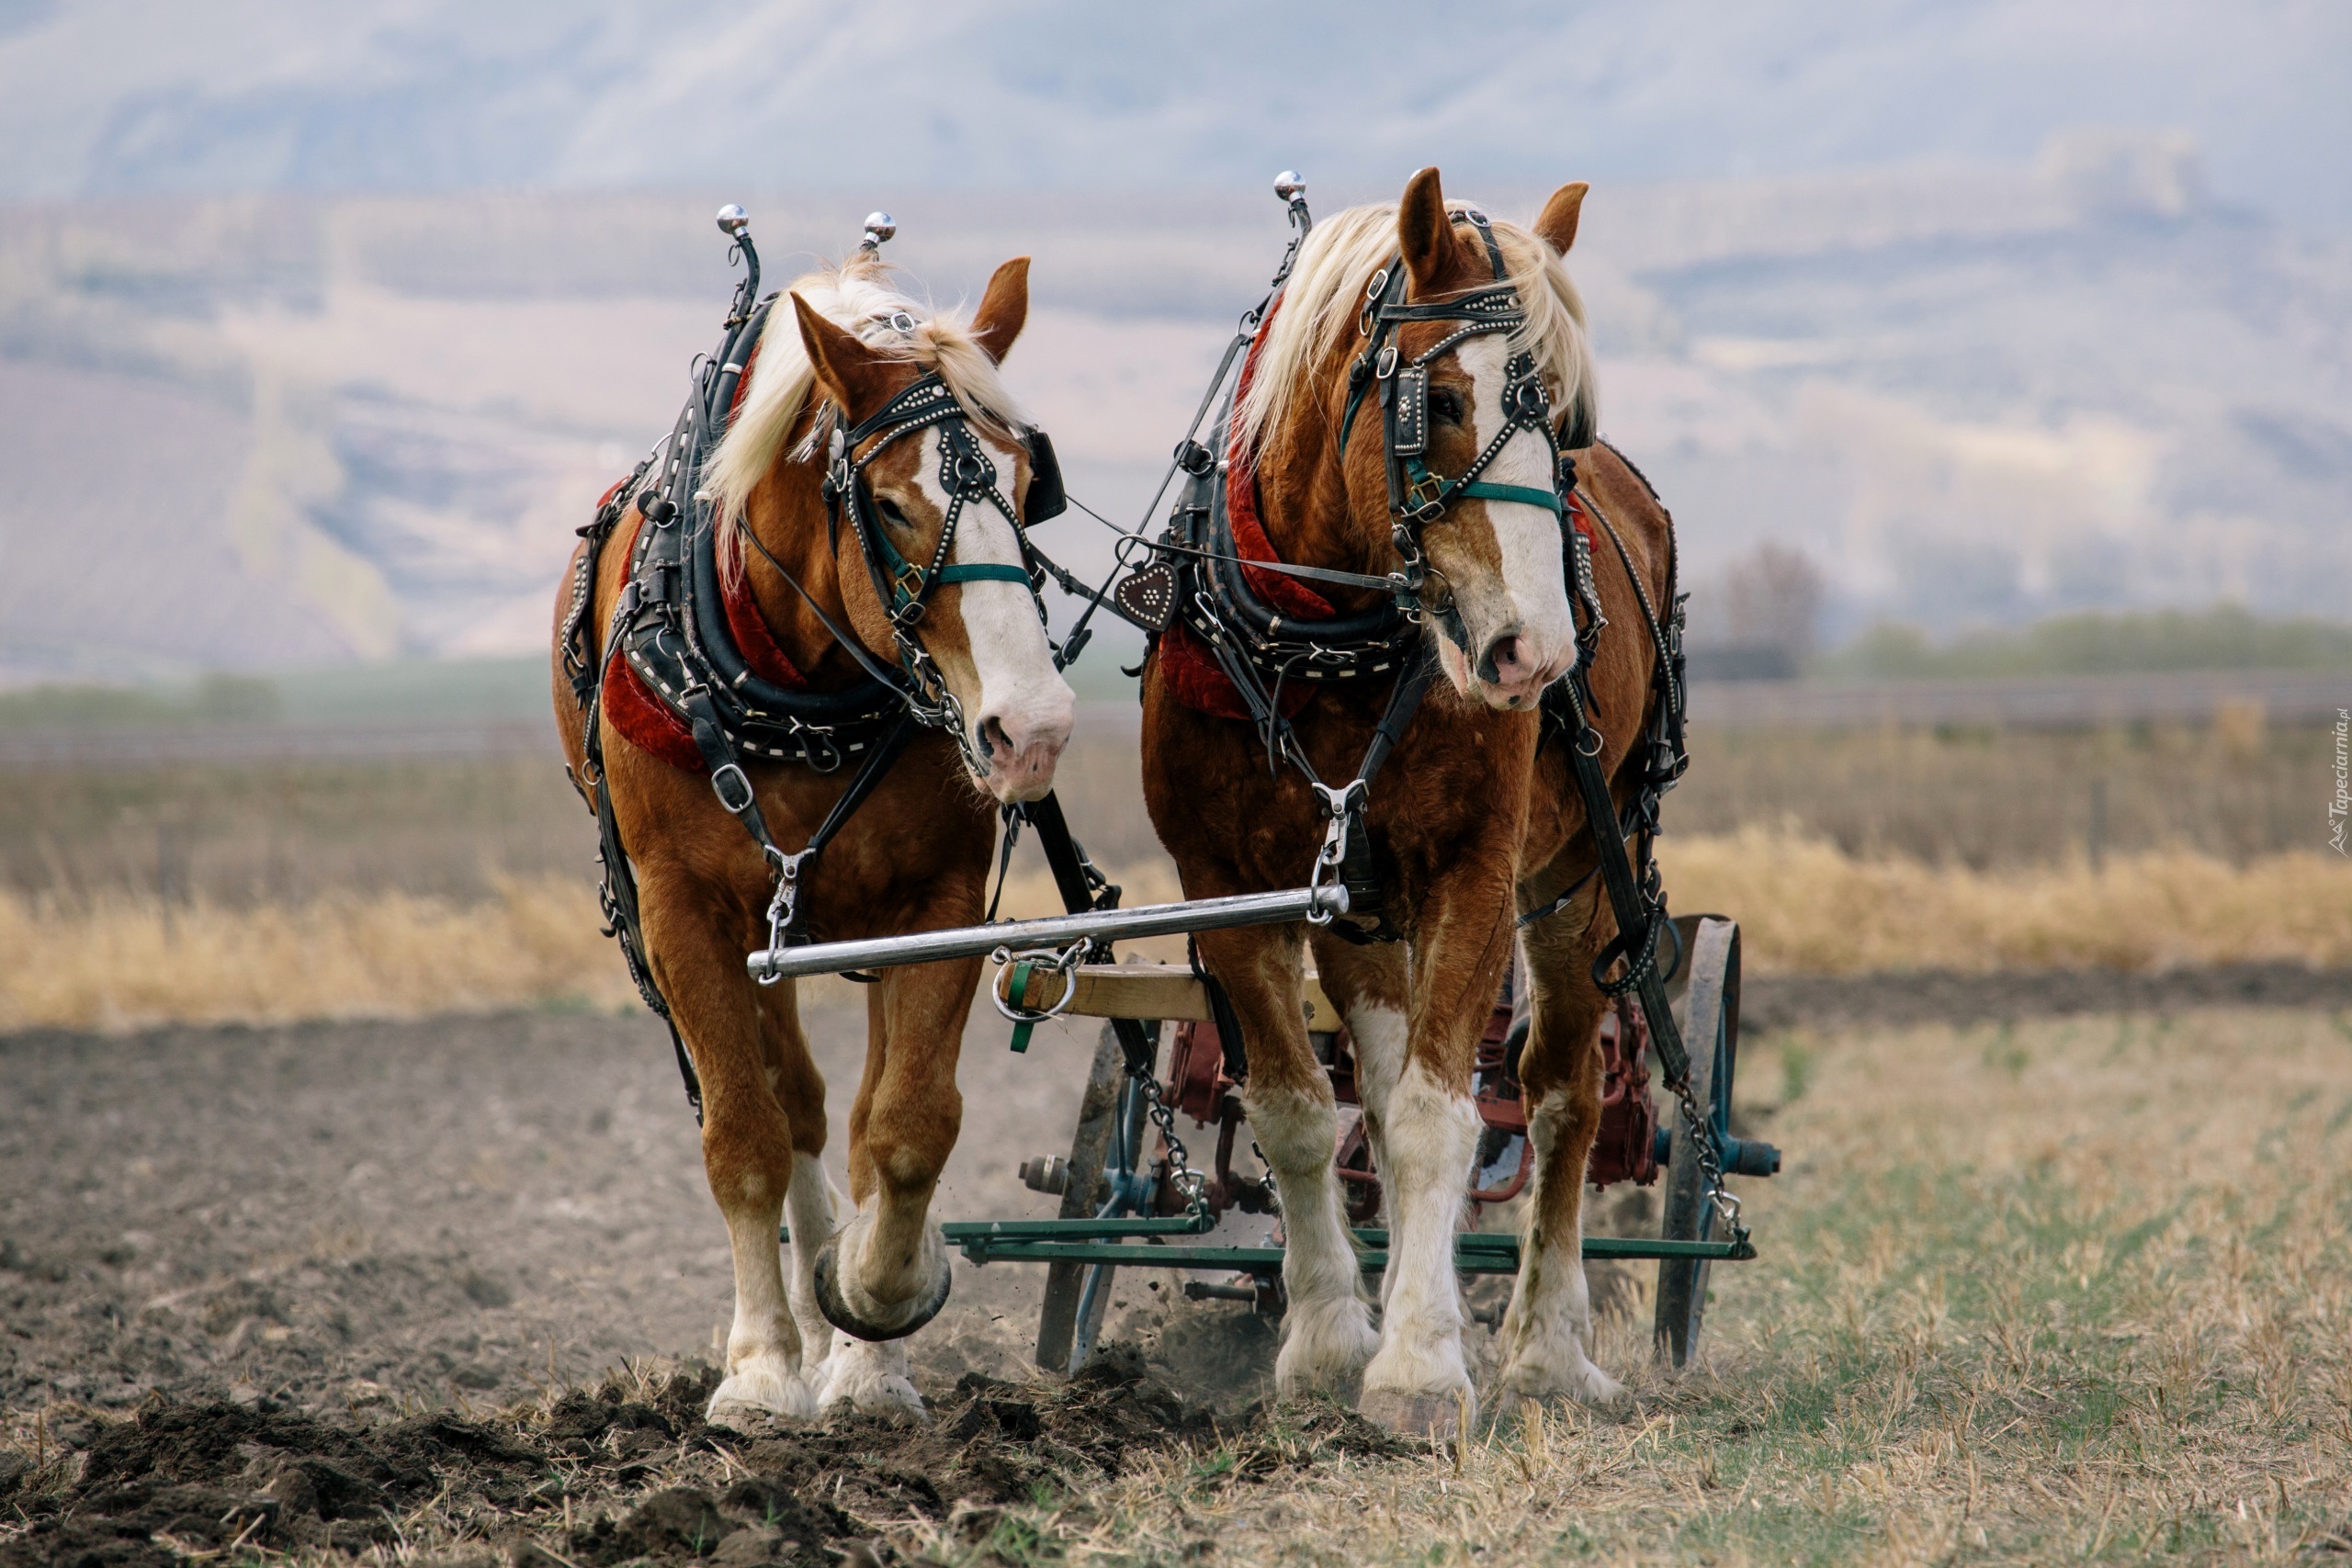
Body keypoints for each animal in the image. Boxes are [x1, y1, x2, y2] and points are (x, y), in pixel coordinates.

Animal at [550, 245, 1077, 1419]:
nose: (1031, 731)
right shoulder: (685, 915)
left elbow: (908, 1123)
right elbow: (744, 1135)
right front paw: (760, 1368)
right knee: (792, 1106)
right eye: (887, 504)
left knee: (856, 1109)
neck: (793, 684)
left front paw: (874, 1322)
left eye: (1029, 490)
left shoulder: (934, 905)